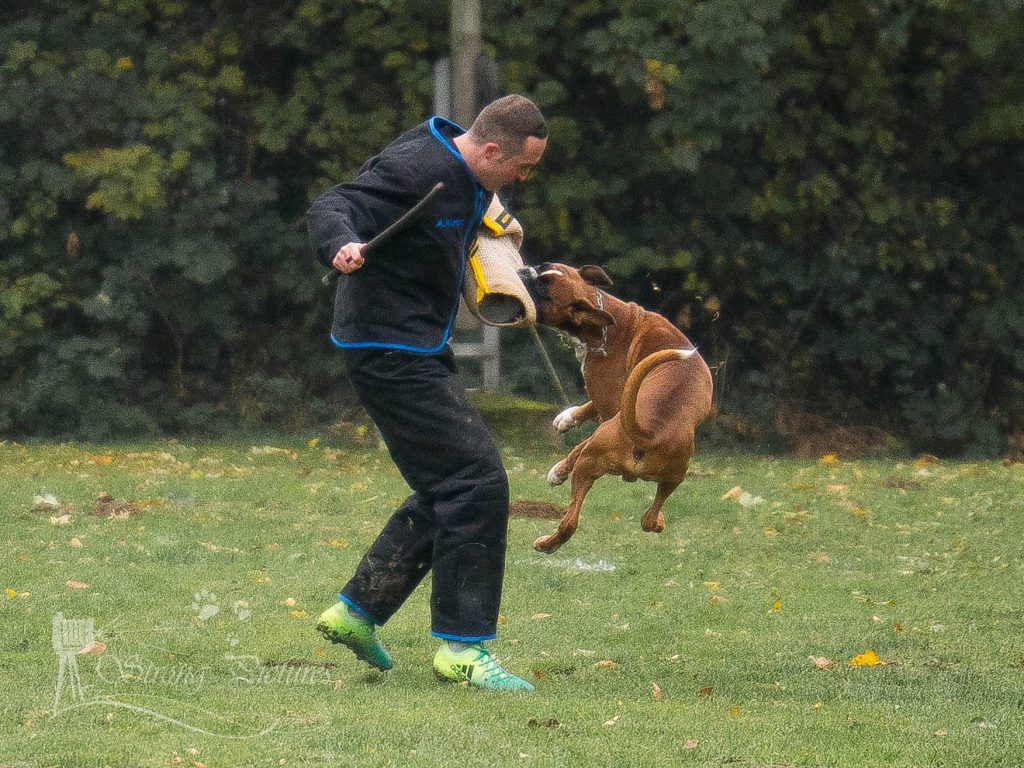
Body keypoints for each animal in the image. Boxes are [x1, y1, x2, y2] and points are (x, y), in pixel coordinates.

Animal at [520, 264, 712, 552]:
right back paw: (656, 521)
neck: (604, 327)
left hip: (592, 457)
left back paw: (547, 536)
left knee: (571, 512)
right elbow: (587, 409)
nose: (523, 271)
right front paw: (567, 418)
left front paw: (560, 462)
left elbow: (589, 419)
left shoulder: (609, 403)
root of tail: (648, 432)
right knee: (647, 518)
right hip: (675, 475)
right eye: (543, 267)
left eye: (544, 290)